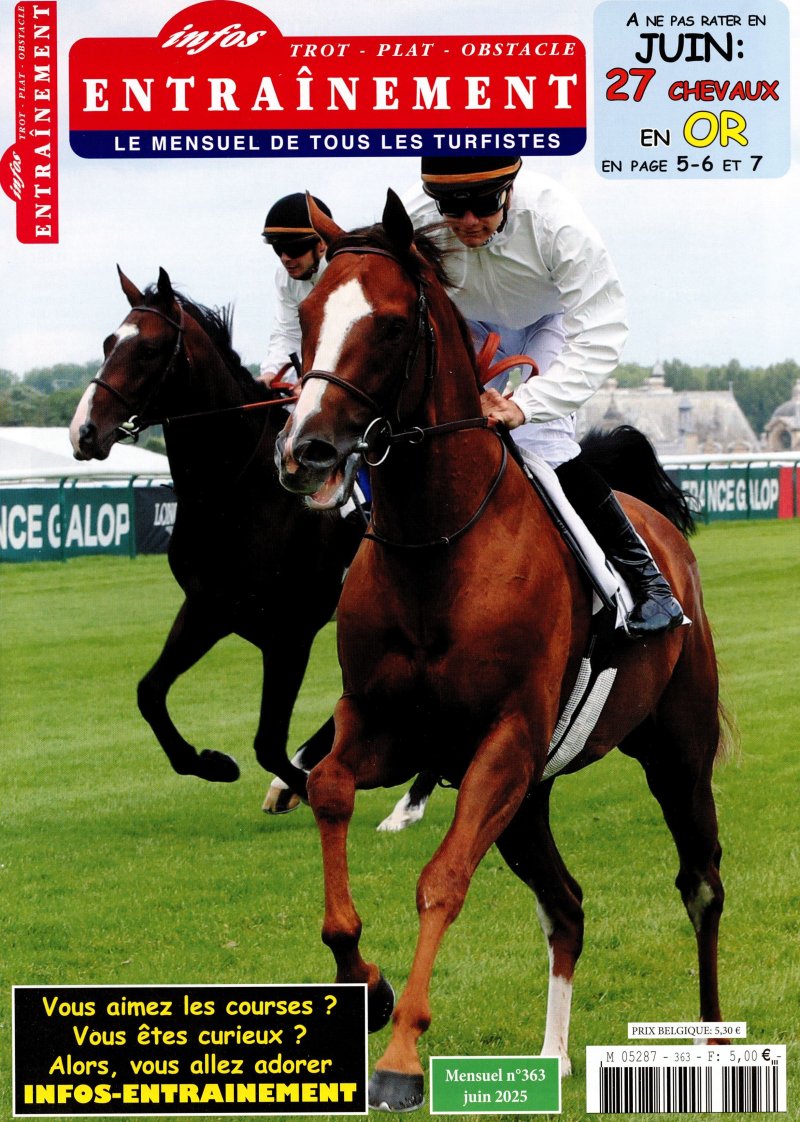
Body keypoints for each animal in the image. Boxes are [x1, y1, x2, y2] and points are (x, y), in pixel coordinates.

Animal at [69, 266, 365, 809]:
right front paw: (210, 763)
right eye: (108, 343)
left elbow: (268, 742)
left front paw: (302, 786)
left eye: (148, 350)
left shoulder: (290, 631)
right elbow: (149, 692)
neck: (237, 492)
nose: (83, 431)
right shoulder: (209, 607)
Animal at [277, 191, 728, 1111]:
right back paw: (551, 1060)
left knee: (700, 882)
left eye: (387, 325)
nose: (306, 451)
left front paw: (402, 1058)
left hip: (674, 749)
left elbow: (442, 879)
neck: (437, 545)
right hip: (532, 799)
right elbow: (329, 789)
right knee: (568, 905)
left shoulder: (505, 742)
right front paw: (365, 980)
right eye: (306, 317)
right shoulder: (388, 727)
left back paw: (706, 1043)